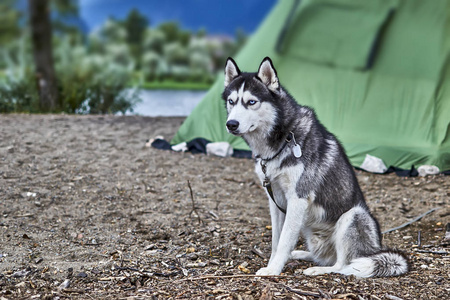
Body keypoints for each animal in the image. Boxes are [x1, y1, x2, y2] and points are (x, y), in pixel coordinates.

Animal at [221, 56, 408, 276]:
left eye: (251, 102)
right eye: (231, 101)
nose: (231, 124)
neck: (283, 139)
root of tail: (374, 250)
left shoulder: (297, 199)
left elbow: (284, 241)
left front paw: (273, 270)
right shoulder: (274, 199)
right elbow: (277, 240)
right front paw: (273, 263)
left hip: (353, 215)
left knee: (342, 265)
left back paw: (318, 270)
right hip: (311, 232)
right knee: (323, 257)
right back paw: (301, 255)